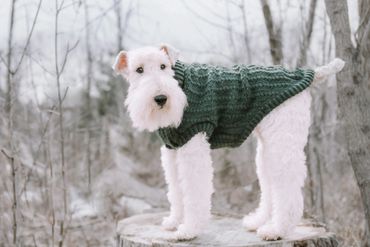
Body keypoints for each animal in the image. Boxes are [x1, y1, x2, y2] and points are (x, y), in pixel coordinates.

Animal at [112, 44, 344, 241]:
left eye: (163, 66)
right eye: (139, 70)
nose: (161, 98)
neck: (180, 83)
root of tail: (307, 74)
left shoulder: (193, 144)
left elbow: (194, 192)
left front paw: (188, 230)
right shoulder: (172, 150)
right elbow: (176, 191)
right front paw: (174, 221)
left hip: (282, 143)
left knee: (287, 190)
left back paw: (276, 230)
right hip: (268, 149)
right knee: (270, 185)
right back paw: (258, 221)